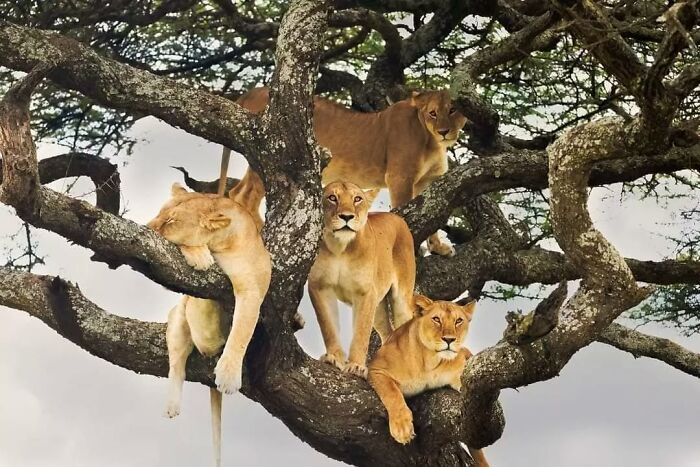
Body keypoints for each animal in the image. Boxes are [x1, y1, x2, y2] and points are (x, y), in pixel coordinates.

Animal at [147, 183, 271, 467]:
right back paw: (172, 406)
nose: (146, 227)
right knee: (177, 364)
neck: (223, 245)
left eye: (170, 221)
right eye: (159, 213)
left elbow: (242, 331)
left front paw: (228, 377)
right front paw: (201, 256)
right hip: (177, 320)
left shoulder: (252, 289)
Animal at [233, 86, 468, 256]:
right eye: (432, 113)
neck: (432, 141)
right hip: (269, 155)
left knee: (236, 192)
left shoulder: (427, 182)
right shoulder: (400, 177)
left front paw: (438, 248)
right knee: (247, 197)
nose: (444, 131)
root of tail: (254, 90)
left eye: (453, 110)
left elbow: (433, 213)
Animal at [307, 181, 416, 378]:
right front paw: (333, 358)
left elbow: (360, 333)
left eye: (357, 199)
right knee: (387, 333)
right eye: (332, 197)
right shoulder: (319, 286)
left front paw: (356, 366)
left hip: (401, 301)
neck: (340, 248)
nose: (346, 216)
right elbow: (328, 326)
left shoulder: (365, 294)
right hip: (379, 309)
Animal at [367, 295, 489, 467]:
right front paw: (402, 428)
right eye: (436, 319)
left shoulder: (460, 373)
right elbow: (392, 393)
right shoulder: (376, 369)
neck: (430, 361)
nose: (449, 339)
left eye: (458, 321)